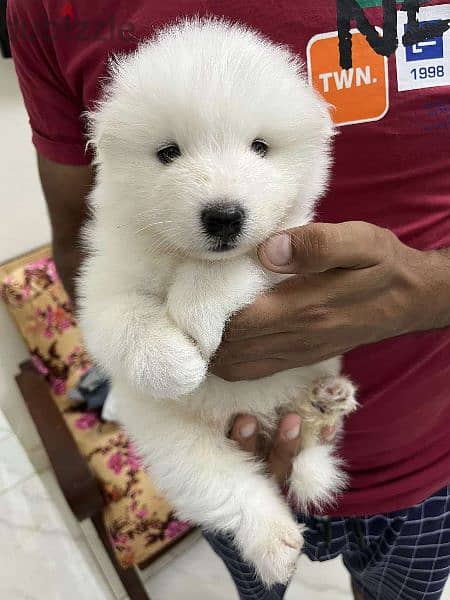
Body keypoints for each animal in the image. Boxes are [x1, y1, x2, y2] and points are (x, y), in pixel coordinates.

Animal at [78, 17, 358, 584]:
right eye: (168, 152)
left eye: (260, 147)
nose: (224, 216)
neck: (181, 257)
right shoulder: (104, 284)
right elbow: (123, 321)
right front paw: (176, 363)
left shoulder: (297, 247)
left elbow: (239, 264)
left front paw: (198, 311)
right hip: (177, 448)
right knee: (230, 489)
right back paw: (274, 543)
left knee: (311, 450)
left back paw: (325, 403)